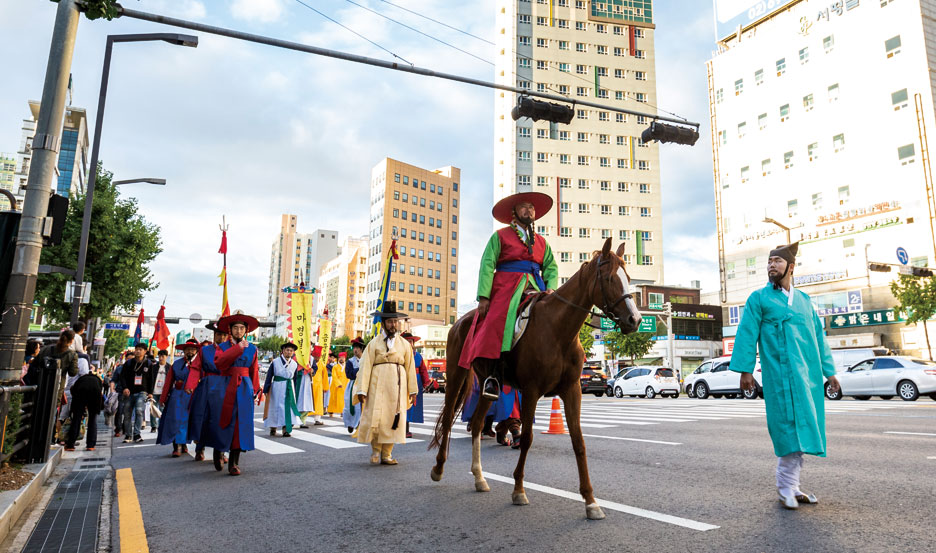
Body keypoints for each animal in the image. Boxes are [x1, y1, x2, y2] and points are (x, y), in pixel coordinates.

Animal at [432, 239, 644, 520]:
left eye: (628, 278)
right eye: (610, 278)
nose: (635, 320)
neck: (559, 331)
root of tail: (460, 322)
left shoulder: (572, 390)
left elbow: (579, 442)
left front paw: (590, 501)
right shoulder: (531, 391)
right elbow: (527, 439)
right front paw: (518, 490)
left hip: (488, 383)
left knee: (477, 423)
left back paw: (479, 477)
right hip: (456, 372)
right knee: (447, 420)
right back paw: (438, 469)